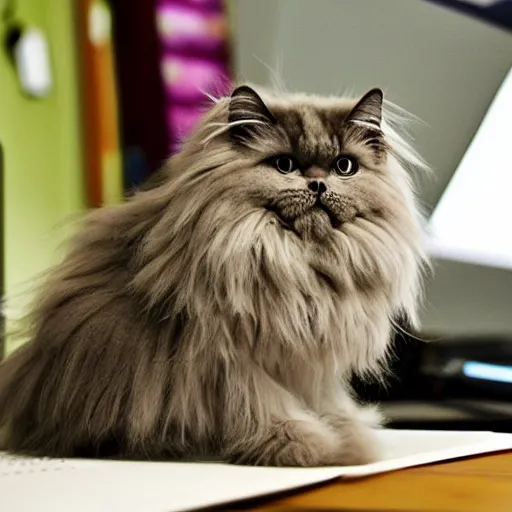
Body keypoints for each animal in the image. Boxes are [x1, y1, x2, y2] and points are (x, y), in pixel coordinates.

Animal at [0, 85, 426, 468]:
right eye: (284, 165)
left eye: (344, 167)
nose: (318, 183)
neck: (299, 265)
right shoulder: (229, 358)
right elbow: (264, 405)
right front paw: (306, 446)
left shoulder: (308, 365)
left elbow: (327, 406)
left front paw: (350, 437)